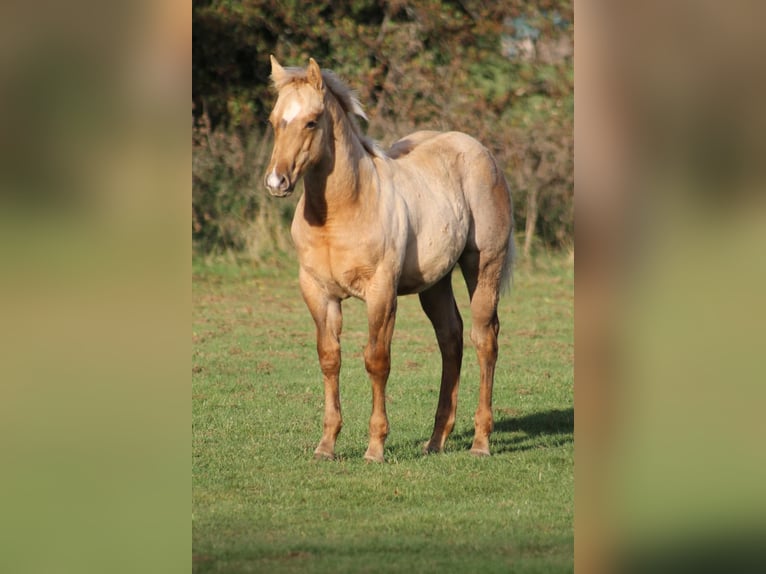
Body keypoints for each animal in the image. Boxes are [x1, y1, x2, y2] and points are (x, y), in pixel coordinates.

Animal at [264, 56, 515, 462]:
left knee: (484, 338)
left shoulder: (381, 291)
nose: (276, 182)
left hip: (483, 266)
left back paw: (480, 442)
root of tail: (480, 149)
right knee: (451, 337)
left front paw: (375, 447)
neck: (343, 209)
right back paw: (435, 440)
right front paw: (326, 445)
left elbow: (377, 360)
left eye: (312, 121)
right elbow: (329, 358)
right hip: (435, 282)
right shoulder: (317, 291)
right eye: (274, 121)